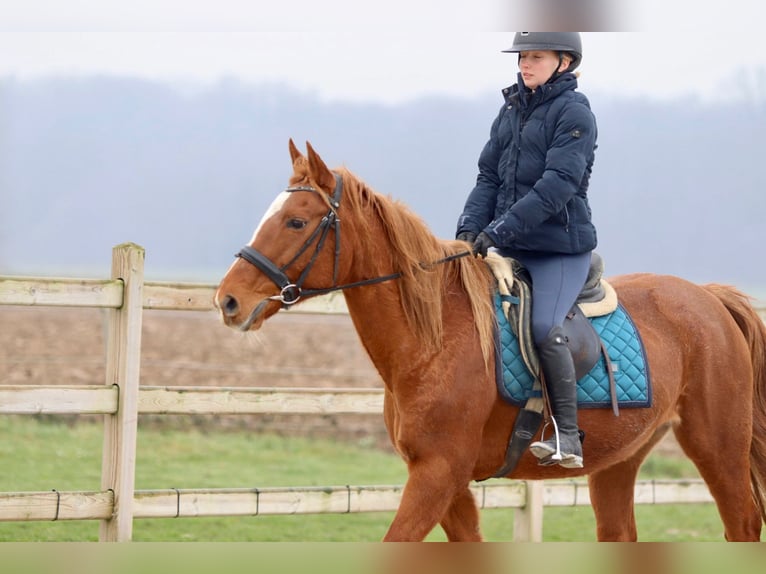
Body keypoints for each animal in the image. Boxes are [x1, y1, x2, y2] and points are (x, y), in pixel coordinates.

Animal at [214, 140, 766, 541]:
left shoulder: (437, 474)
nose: (228, 301)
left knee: (742, 525)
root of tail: (710, 298)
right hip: (620, 460)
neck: (434, 339)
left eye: (296, 221)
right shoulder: (446, 483)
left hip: (718, 448)